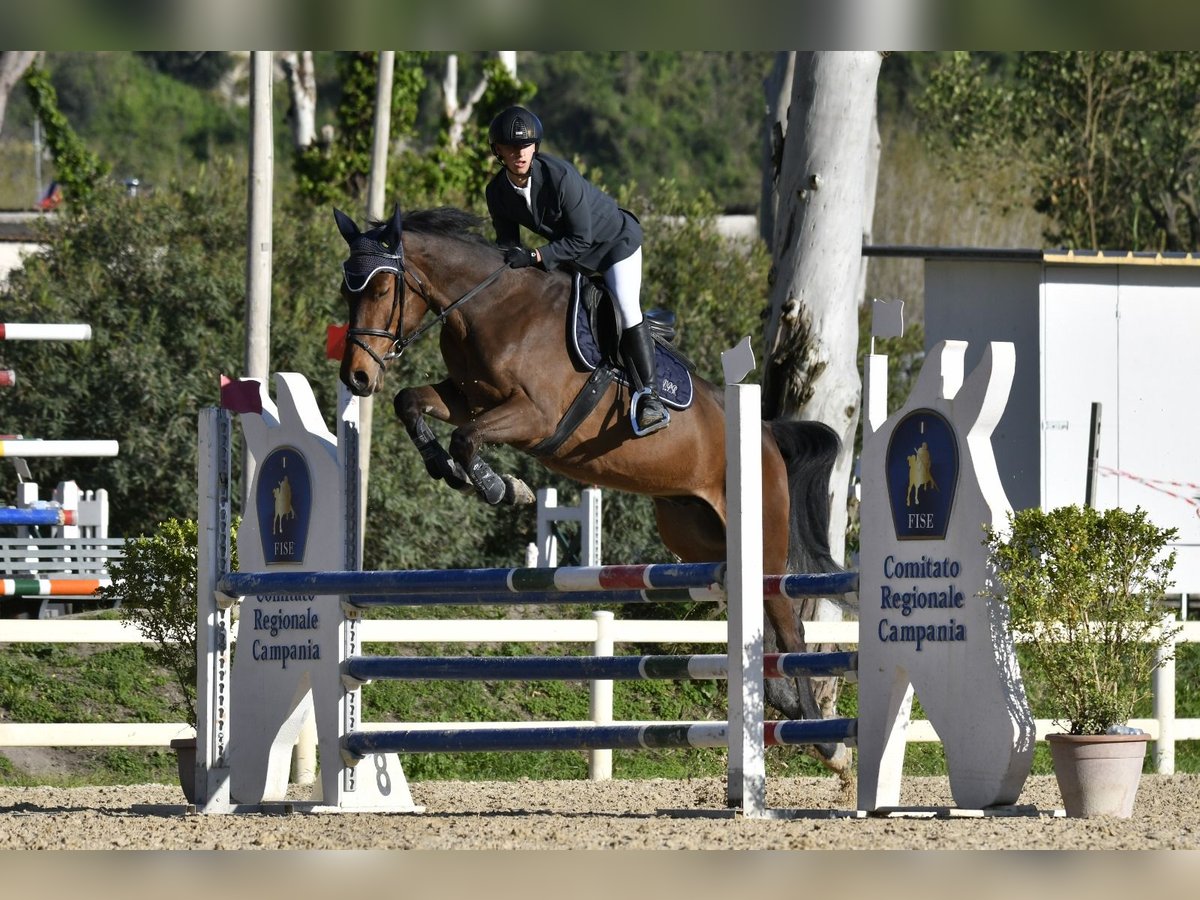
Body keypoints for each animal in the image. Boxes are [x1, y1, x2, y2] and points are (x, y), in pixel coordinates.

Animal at [334, 205, 850, 775]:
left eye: (382, 287)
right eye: (347, 288)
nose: (356, 377)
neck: (489, 308)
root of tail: (766, 433)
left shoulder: (533, 415)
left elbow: (467, 438)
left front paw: (502, 488)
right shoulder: (468, 398)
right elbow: (411, 402)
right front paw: (447, 468)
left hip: (763, 536)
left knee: (789, 622)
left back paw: (828, 744)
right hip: (697, 536)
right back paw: (781, 702)